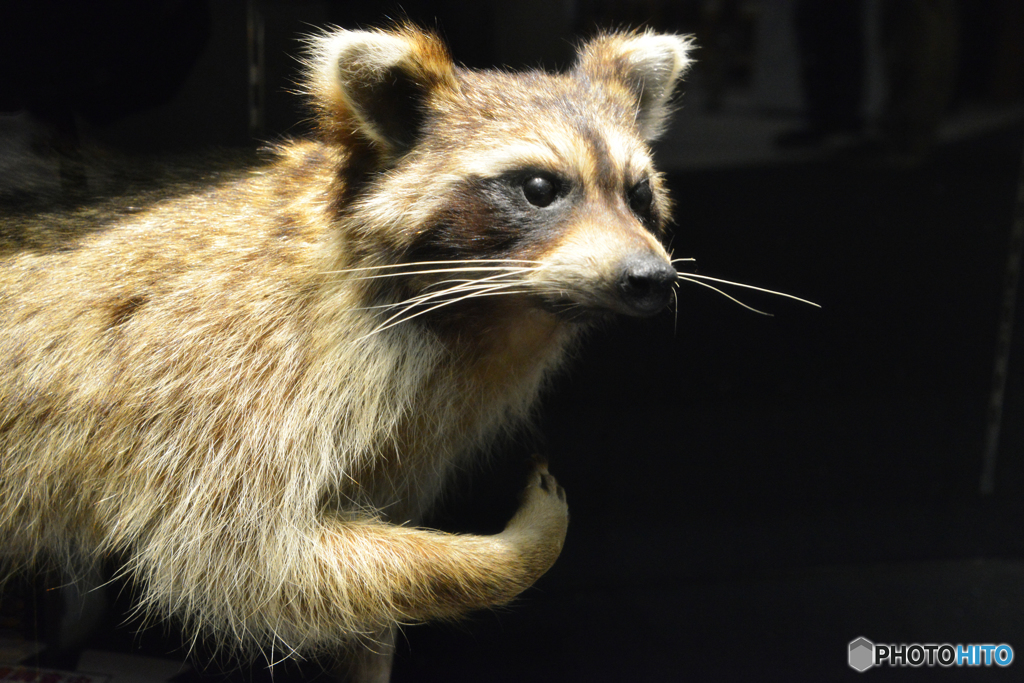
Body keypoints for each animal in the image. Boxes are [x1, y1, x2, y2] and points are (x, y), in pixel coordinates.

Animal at [0, 24, 696, 679]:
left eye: (638, 193)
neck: (483, 317)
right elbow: (241, 557)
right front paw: (511, 554)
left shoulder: (415, 428)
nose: (650, 279)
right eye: (539, 187)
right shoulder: (236, 365)